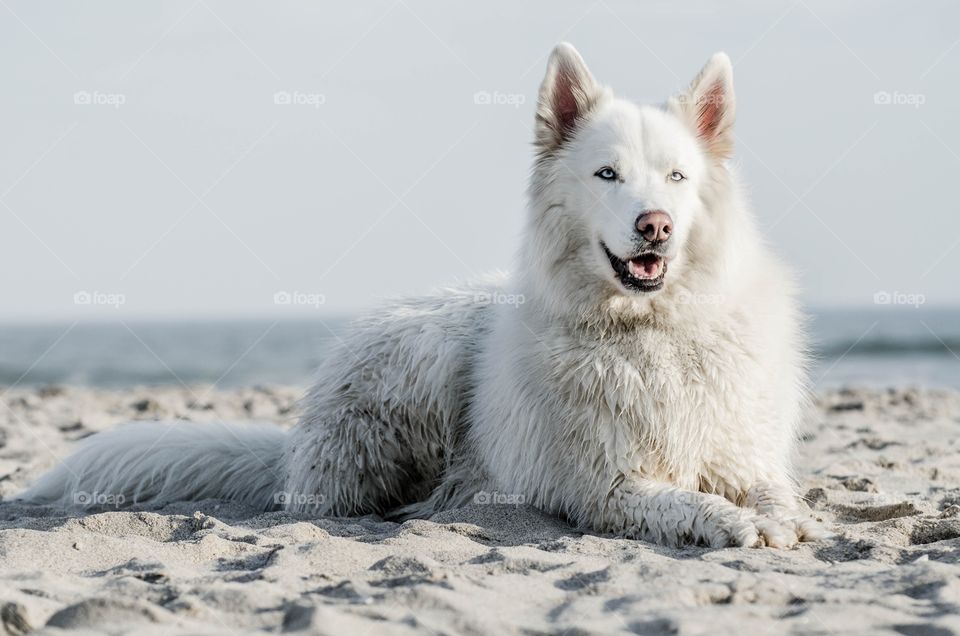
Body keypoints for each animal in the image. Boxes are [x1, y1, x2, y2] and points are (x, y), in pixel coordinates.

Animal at [16, 44, 824, 548]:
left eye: (677, 177)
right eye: (607, 175)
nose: (654, 225)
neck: (650, 329)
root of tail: (294, 448)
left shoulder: (744, 452)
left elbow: (778, 493)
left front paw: (783, 517)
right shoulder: (603, 484)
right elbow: (680, 500)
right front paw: (727, 522)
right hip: (423, 358)